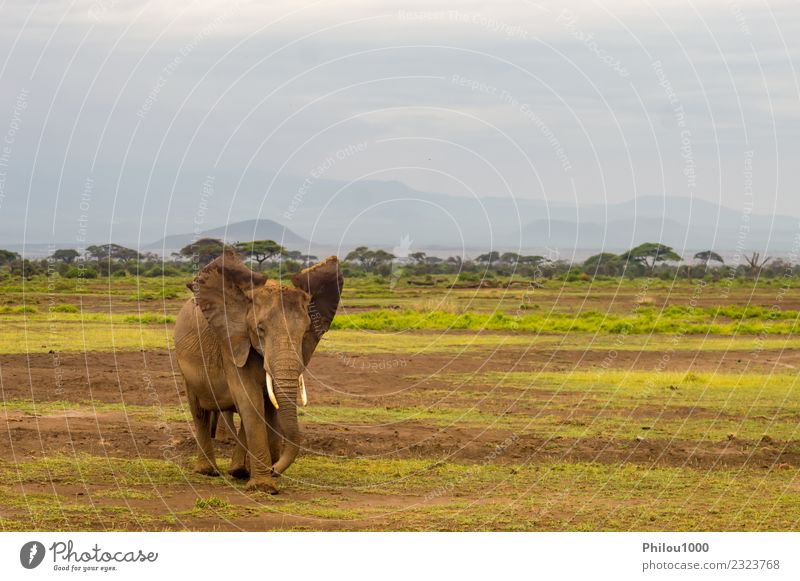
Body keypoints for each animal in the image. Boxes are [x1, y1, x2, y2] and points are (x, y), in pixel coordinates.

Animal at [173, 251, 342, 492]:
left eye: (305, 332)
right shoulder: (232, 344)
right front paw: (264, 486)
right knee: (198, 411)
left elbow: (266, 403)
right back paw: (209, 471)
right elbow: (250, 400)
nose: (275, 470)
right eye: (260, 329)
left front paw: (248, 474)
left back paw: (238, 471)